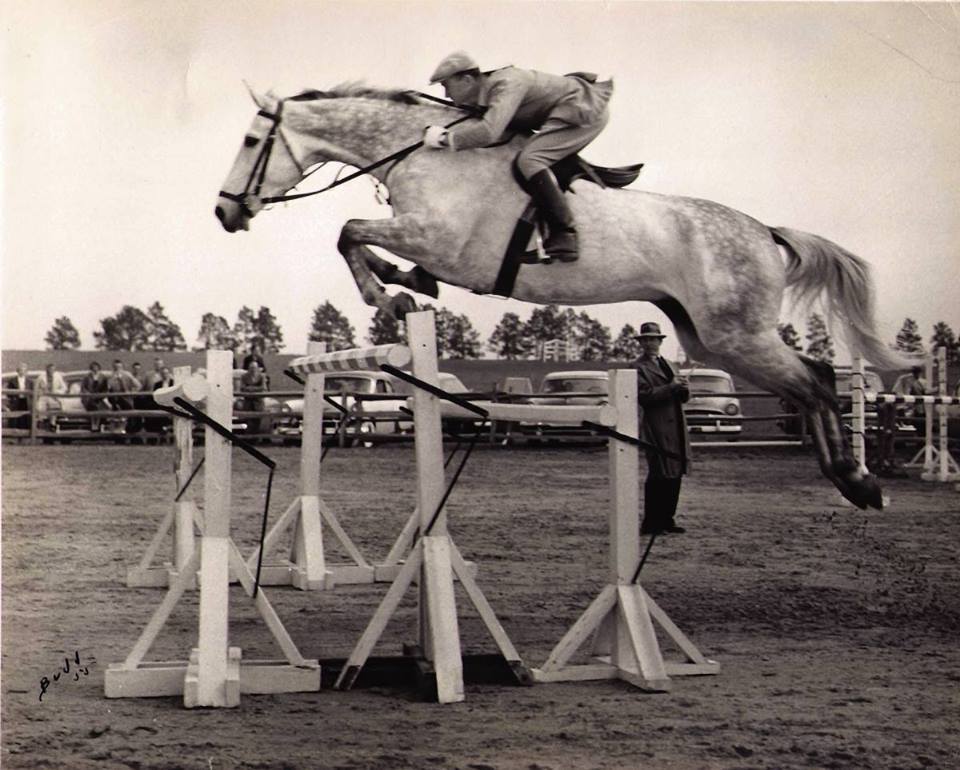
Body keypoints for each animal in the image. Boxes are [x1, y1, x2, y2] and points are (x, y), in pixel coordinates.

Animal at [216, 85, 908, 510]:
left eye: (250, 143)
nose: (224, 212)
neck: (425, 154)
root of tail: (765, 231)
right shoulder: (428, 240)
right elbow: (364, 240)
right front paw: (406, 289)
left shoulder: (440, 240)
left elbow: (350, 230)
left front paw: (388, 297)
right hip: (710, 338)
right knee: (812, 378)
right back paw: (850, 479)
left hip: (737, 334)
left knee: (815, 382)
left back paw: (859, 481)